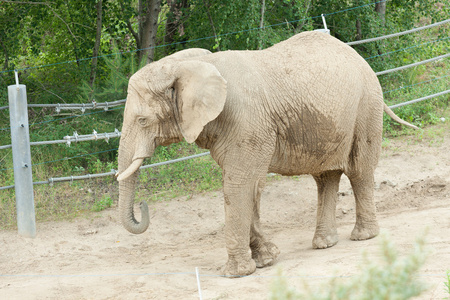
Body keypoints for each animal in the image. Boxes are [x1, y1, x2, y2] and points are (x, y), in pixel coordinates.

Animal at [117, 30, 418, 276]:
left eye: (142, 120)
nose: (143, 205)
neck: (189, 65)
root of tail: (357, 55)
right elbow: (246, 185)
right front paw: (267, 259)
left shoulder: (246, 123)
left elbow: (238, 185)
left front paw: (237, 273)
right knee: (325, 177)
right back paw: (324, 243)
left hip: (366, 105)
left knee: (359, 170)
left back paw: (363, 236)